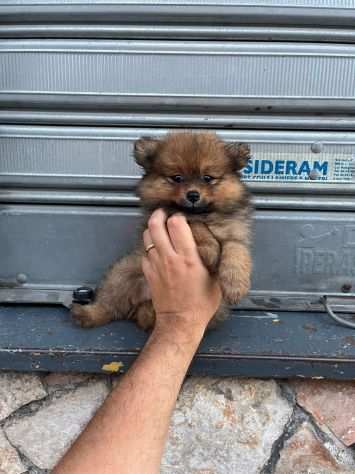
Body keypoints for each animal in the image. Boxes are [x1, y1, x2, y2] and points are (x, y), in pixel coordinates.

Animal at [71, 131, 252, 330]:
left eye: (207, 178)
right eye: (177, 178)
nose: (193, 195)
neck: (203, 214)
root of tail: (142, 304)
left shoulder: (235, 232)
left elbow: (237, 252)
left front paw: (236, 285)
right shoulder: (170, 215)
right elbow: (196, 226)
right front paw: (210, 249)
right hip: (122, 274)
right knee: (110, 305)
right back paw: (86, 314)